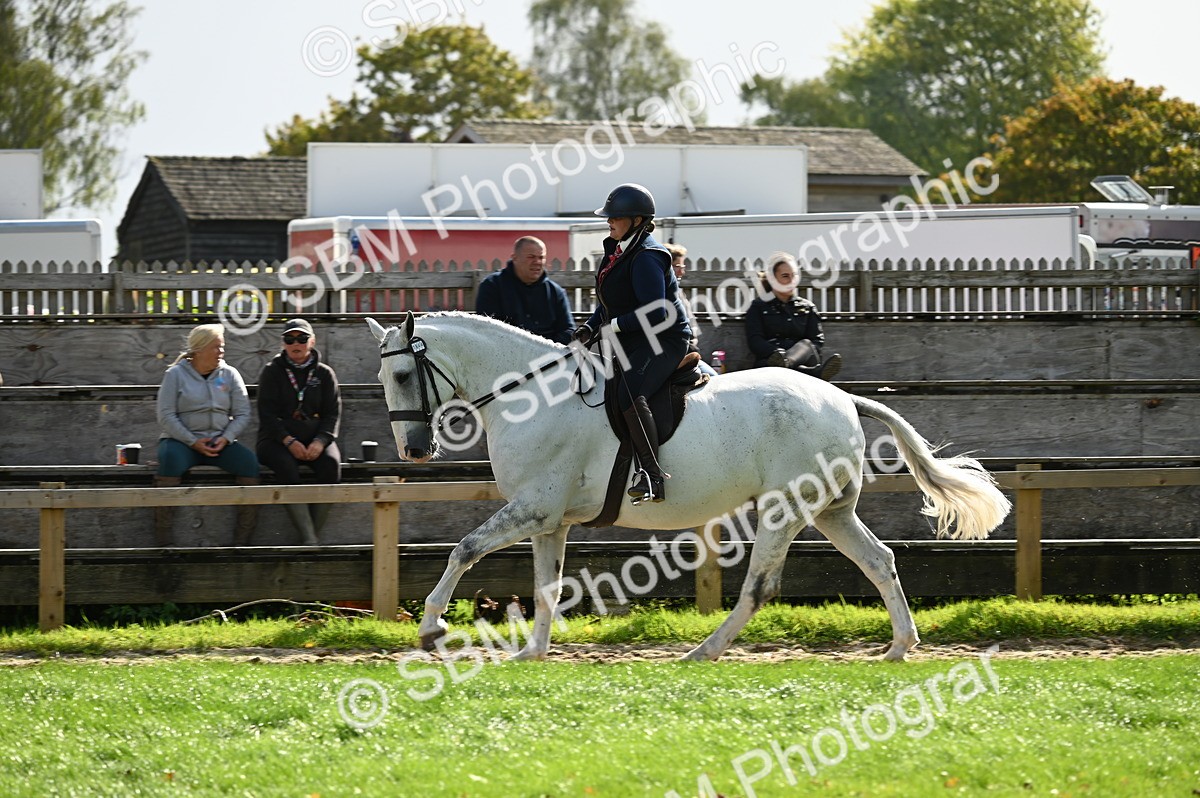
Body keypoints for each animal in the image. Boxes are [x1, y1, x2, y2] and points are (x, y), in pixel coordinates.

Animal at [367, 312, 1011, 662]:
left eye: (400, 374)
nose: (413, 450)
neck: (529, 395)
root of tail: (842, 398)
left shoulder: (530, 509)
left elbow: (464, 550)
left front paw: (431, 627)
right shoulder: (549, 520)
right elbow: (546, 586)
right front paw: (534, 651)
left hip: (782, 512)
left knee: (759, 587)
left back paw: (704, 651)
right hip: (831, 512)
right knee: (879, 560)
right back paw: (900, 645)